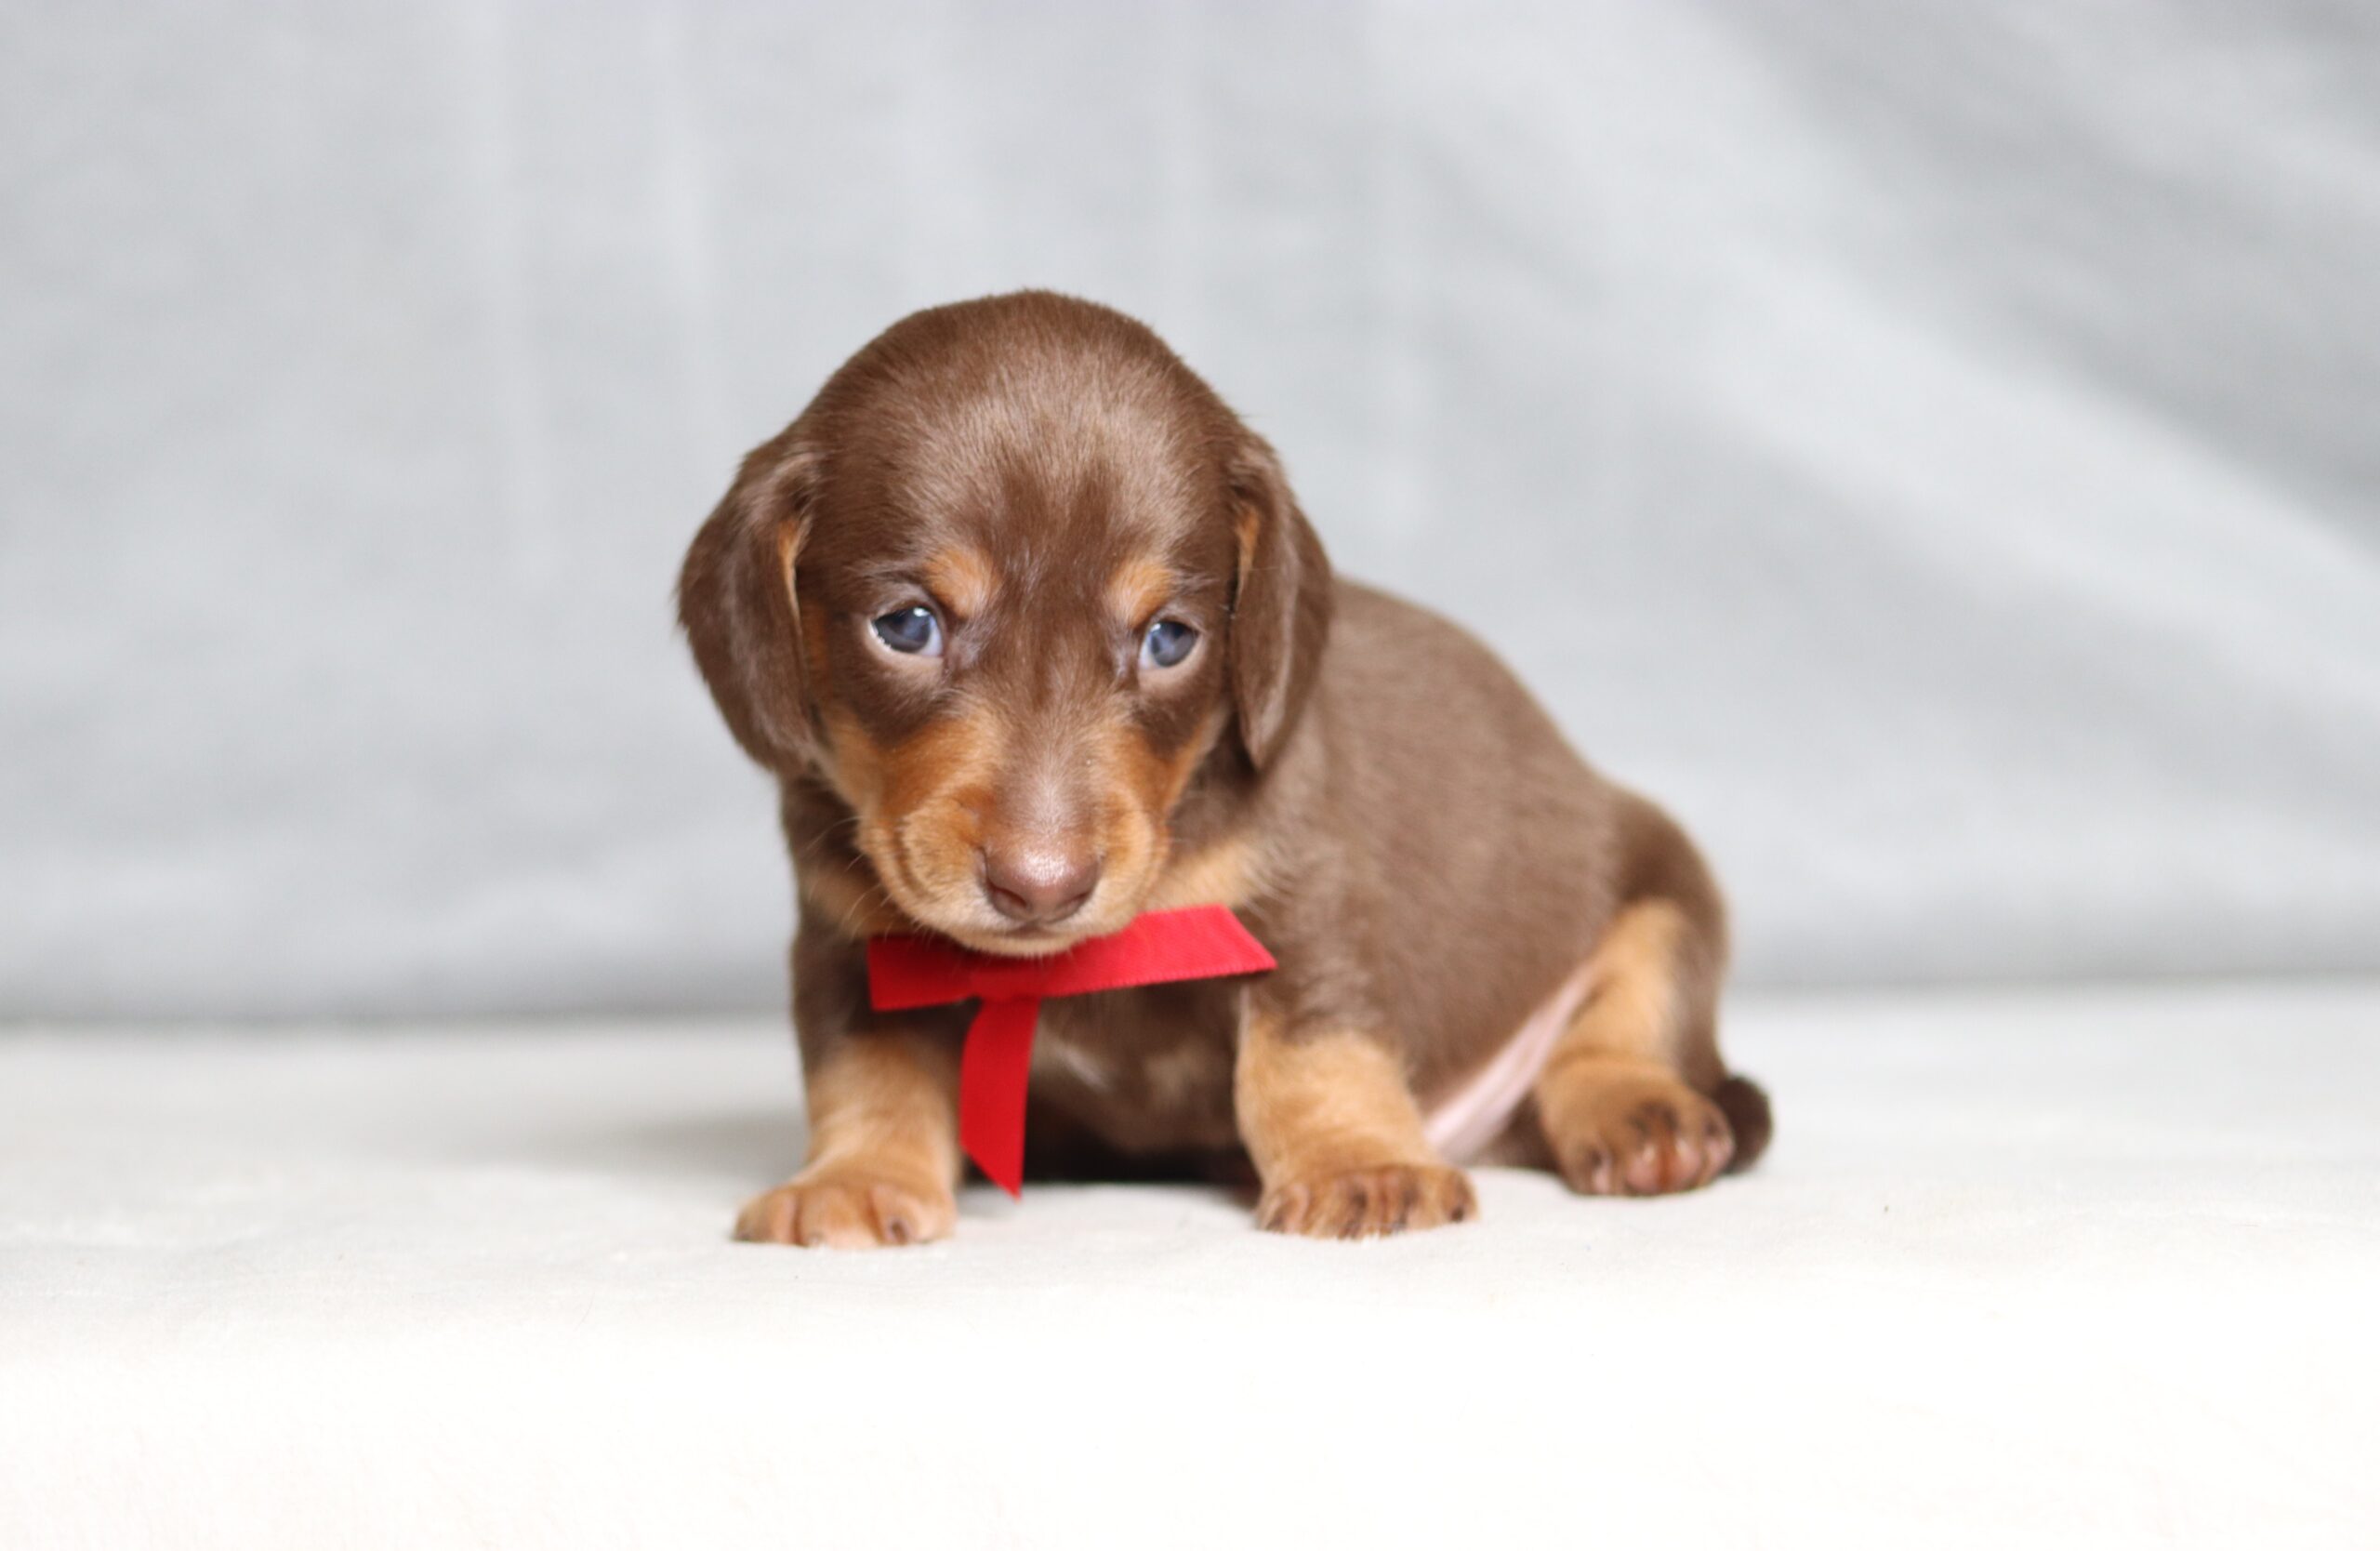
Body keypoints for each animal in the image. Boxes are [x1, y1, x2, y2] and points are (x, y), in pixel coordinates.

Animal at [679, 290, 1771, 1245]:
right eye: (907, 626)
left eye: (1170, 639)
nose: (1042, 887)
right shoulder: (851, 947)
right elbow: (868, 1071)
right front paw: (858, 1177)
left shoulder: (1301, 902)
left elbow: (1313, 1049)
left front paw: (1357, 1165)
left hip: (1666, 890)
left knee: (1617, 1028)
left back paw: (1641, 1113)